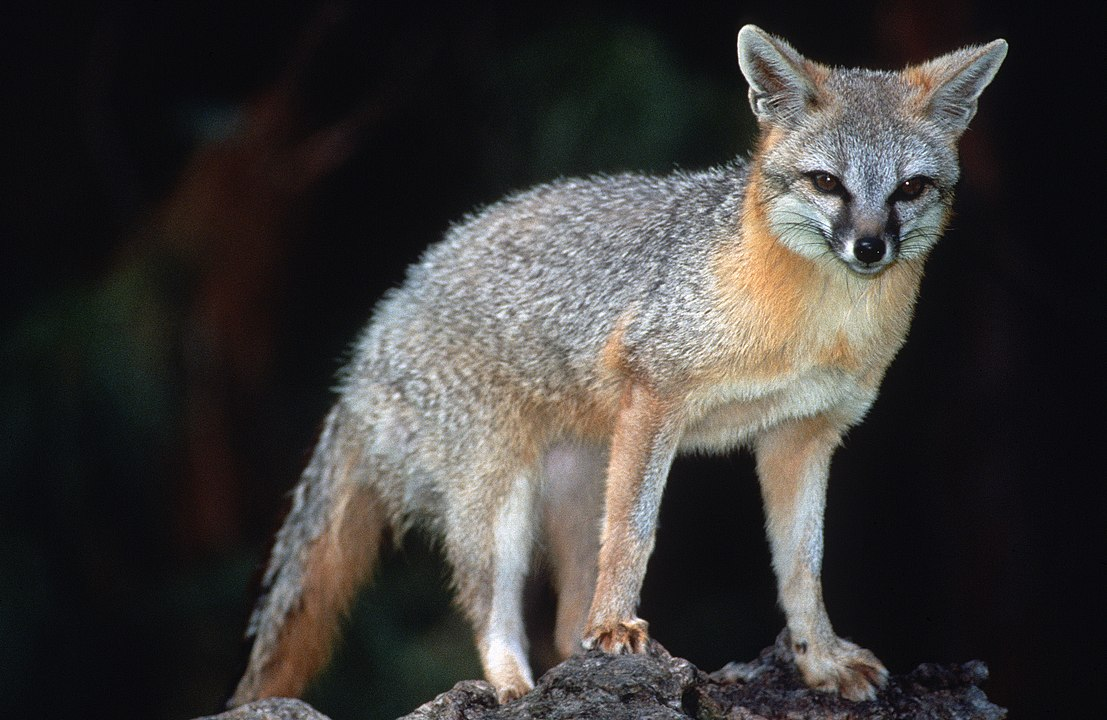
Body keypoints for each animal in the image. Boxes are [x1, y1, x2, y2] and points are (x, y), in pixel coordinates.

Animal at [229, 24, 1006, 707]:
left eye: (909, 189)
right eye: (826, 182)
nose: (869, 248)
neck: (816, 326)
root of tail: (370, 343)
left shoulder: (802, 435)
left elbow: (802, 565)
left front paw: (818, 660)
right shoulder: (653, 393)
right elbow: (634, 534)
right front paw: (615, 626)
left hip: (575, 488)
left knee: (561, 615)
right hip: (499, 499)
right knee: (491, 605)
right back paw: (513, 687)